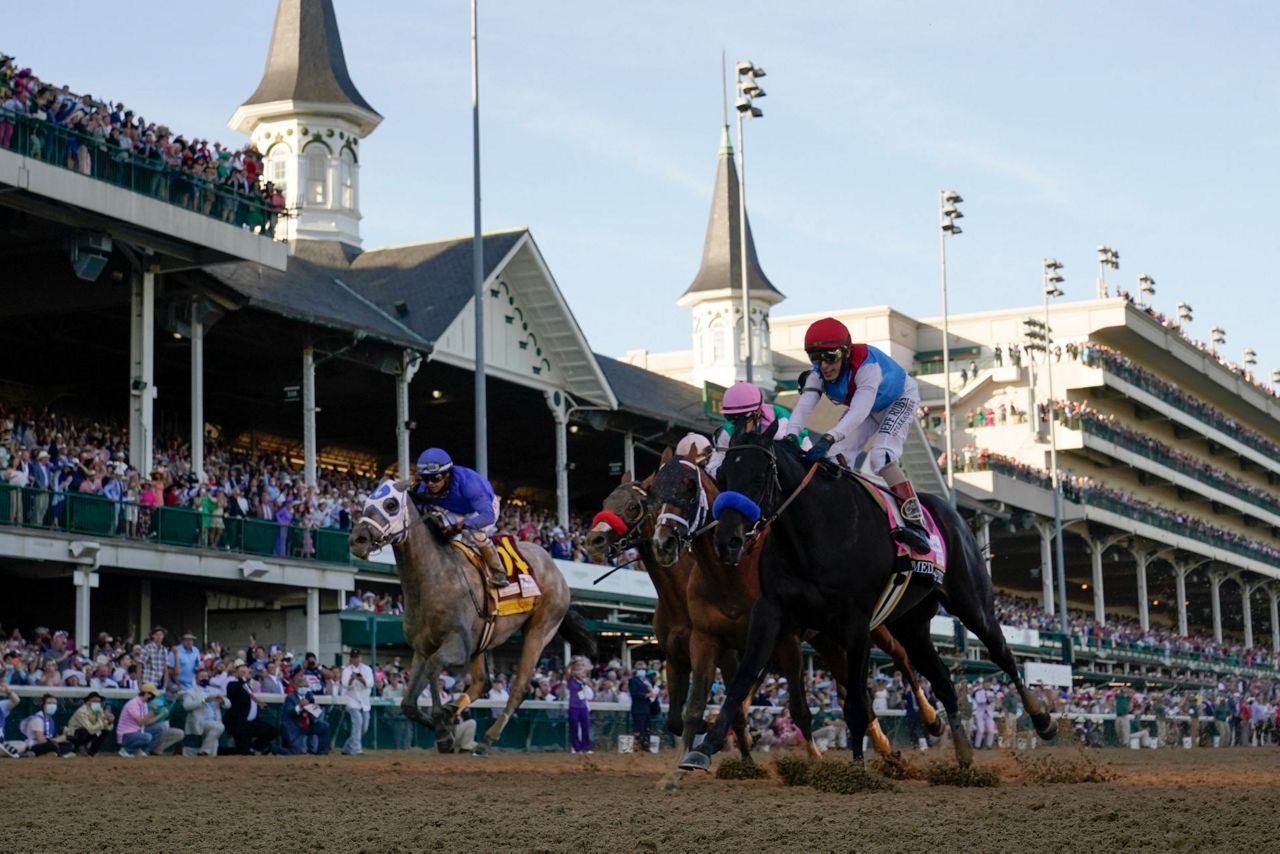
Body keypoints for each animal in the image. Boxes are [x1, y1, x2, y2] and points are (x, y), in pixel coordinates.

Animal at [345, 481, 593, 752]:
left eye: (391, 504)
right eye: (366, 501)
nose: (357, 539)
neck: (432, 577)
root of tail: (555, 568)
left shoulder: (457, 645)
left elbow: (434, 667)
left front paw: (444, 730)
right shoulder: (422, 649)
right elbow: (408, 704)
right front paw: (447, 728)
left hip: (540, 629)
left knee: (519, 686)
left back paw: (486, 739)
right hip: (482, 642)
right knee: (482, 682)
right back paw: (455, 711)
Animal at [686, 425, 1054, 773]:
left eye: (761, 474)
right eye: (722, 477)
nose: (727, 541)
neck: (815, 531)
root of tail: (953, 515)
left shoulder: (856, 624)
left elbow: (855, 703)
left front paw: (857, 770)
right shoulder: (772, 612)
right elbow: (743, 680)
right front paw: (704, 748)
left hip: (973, 605)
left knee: (1002, 654)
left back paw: (1042, 721)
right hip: (912, 626)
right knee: (942, 679)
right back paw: (962, 752)